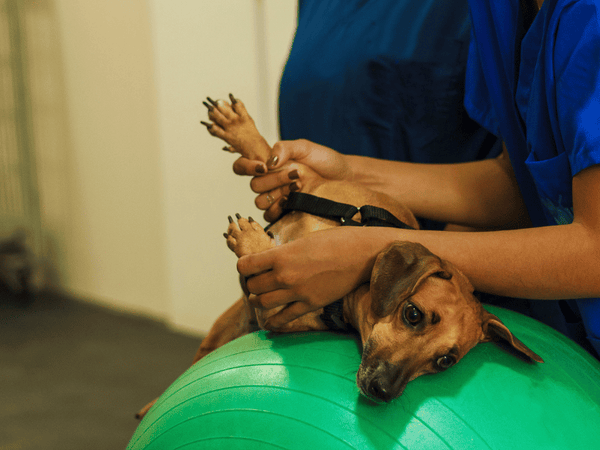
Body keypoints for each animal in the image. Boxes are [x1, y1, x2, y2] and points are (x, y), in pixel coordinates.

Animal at [137, 95, 544, 418]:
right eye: (413, 314)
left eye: (445, 361)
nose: (384, 391)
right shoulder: (302, 184)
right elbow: (269, 159)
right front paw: (239, 129)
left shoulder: (274, 305)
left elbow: (269, 258)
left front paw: (252, 242)